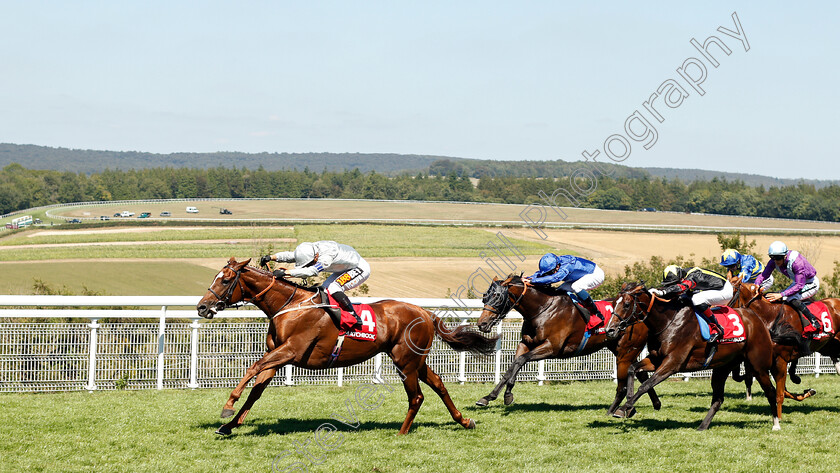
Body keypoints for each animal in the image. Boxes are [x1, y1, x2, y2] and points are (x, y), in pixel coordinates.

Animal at [197, 258, 498, 436]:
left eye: (226, 280)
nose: (202, 307)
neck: (291, 306)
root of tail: (425, 312)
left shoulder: (290, 351)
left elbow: (253, 368)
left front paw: (227, 406)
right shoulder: (278, 356)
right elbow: (256, 391)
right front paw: (229, 425)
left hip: (405, 361)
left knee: (417, 396)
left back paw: (401, 432)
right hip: (415, 360)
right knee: (438, 384)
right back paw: (464, 420)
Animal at [472, 274, 664, 414]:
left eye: (497, 297)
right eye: (485, 297)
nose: (482, 324)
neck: (543, 308)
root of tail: (641, 313)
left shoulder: (552, 347)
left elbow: (520, 361)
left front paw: (507, 394)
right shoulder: (525, 343)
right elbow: (511, 367)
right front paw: (489, 396)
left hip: (626, 351)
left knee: (629, 378)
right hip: (620, 349)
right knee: (640, 373)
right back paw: (653, 403)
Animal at [608, 282, 796, 430]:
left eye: (626, 304)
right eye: (613, 303)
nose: (610, 330)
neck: (668, 321)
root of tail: (759, 322)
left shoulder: (672, 363)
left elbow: (645, 385)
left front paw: (623, 408)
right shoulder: (657, 359)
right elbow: (633, 369)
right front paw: (629, 406)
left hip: (758, 366)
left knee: (771, 391)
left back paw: (776, 424)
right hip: (722, 367)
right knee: (718, 399)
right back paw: (702, 426)